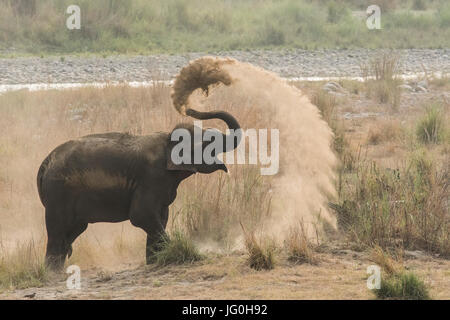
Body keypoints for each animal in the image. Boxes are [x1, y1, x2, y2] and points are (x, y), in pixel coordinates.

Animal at [37, 107, 243, 270]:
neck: (168, 138)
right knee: (57, 232)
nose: (190, 109)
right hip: (59, 192)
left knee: (71, 232)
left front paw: (154, 262)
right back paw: (51, 274)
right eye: (209, 142)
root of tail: (45, 162)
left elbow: (160, 217)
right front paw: (175, 254)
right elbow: (141, 215)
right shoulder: (151, 177)